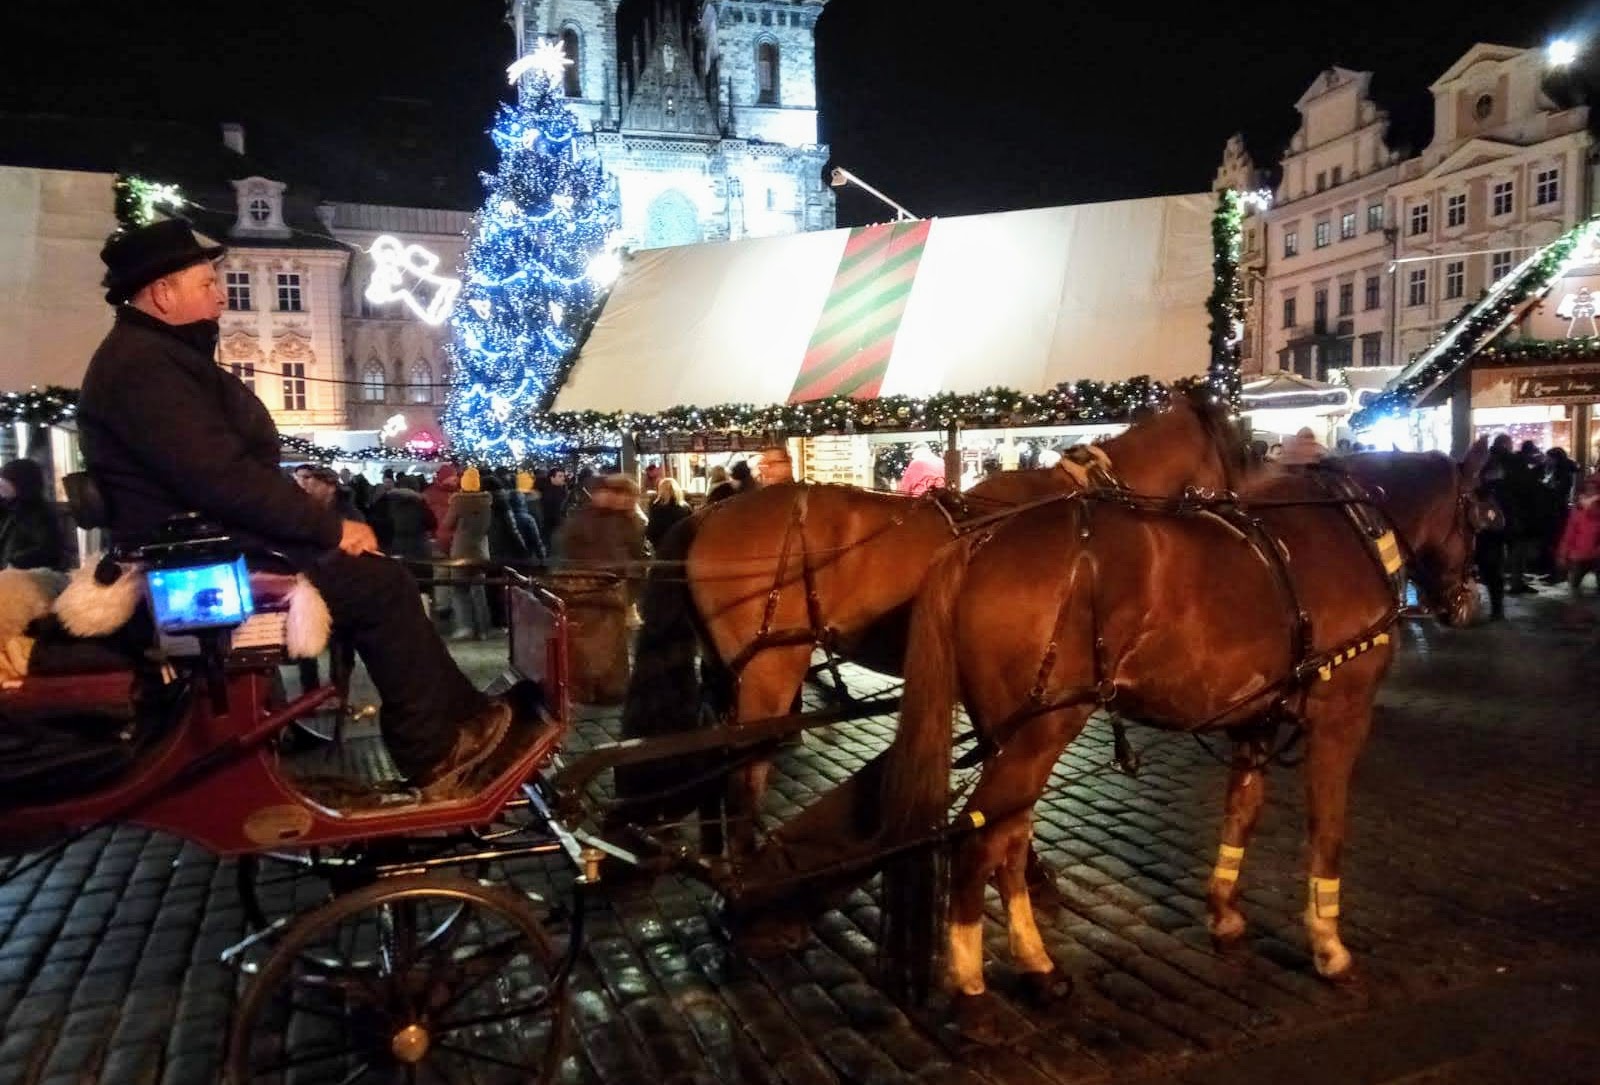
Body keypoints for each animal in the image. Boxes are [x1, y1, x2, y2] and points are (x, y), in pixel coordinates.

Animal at [617, 388, 1241, 851]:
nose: (1241, 514)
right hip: (770, 670)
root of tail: (710, 512)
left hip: (731, 670)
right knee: (746, 772)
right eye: (1241, 446)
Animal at [864, 441, 1484, 1017]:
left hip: (1007, 738)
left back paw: (1039, 967)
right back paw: (970, 979)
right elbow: (1327, 830)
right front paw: (1329, 947)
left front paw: (1224, 911)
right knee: (978, 842)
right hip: (1038, 735)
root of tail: (978, 541)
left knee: (1010, 841)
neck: (1353, 527)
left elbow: (1242, 811)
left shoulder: (1254, 723)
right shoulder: (1342, 718)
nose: (1464, 602)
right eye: (1482, 513)